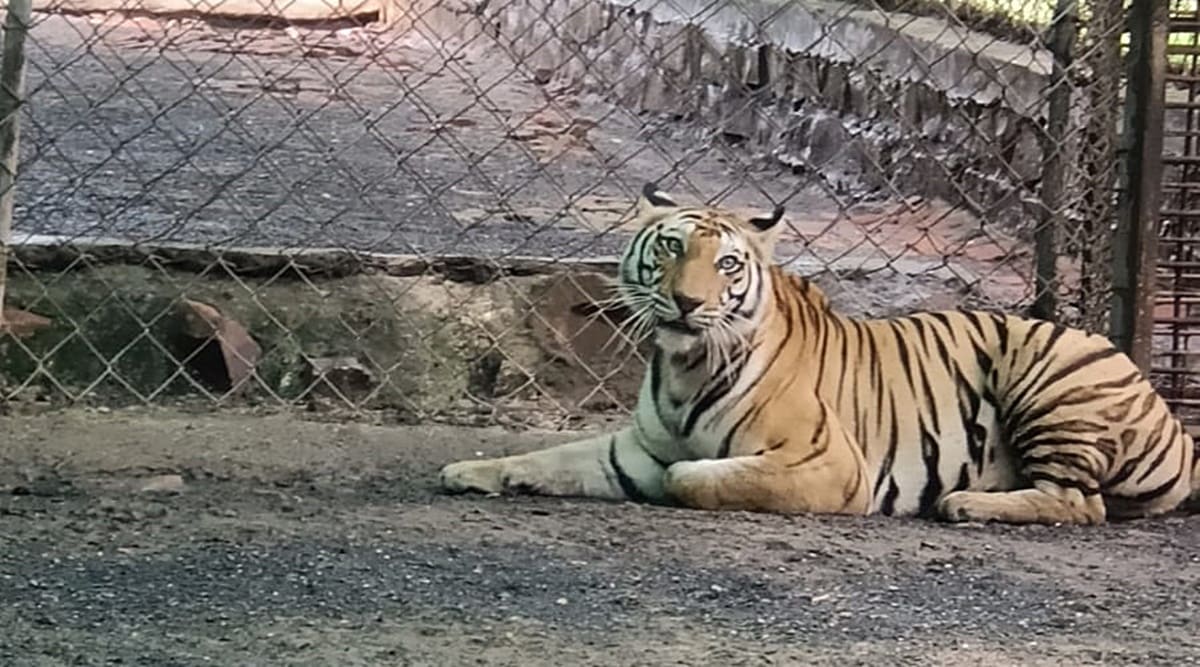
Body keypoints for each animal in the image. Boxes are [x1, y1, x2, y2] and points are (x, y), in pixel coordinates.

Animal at [441, 183, 1200, 525]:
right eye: (671, 247)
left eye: (727, 264)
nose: (686, 303)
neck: (685, 365)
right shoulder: (629, 449)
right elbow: (548, 457)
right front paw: (468, 472)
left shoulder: (829, 464)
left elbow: (693, 475)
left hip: (1046, 376)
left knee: (1081, 503)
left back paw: (966, 502)